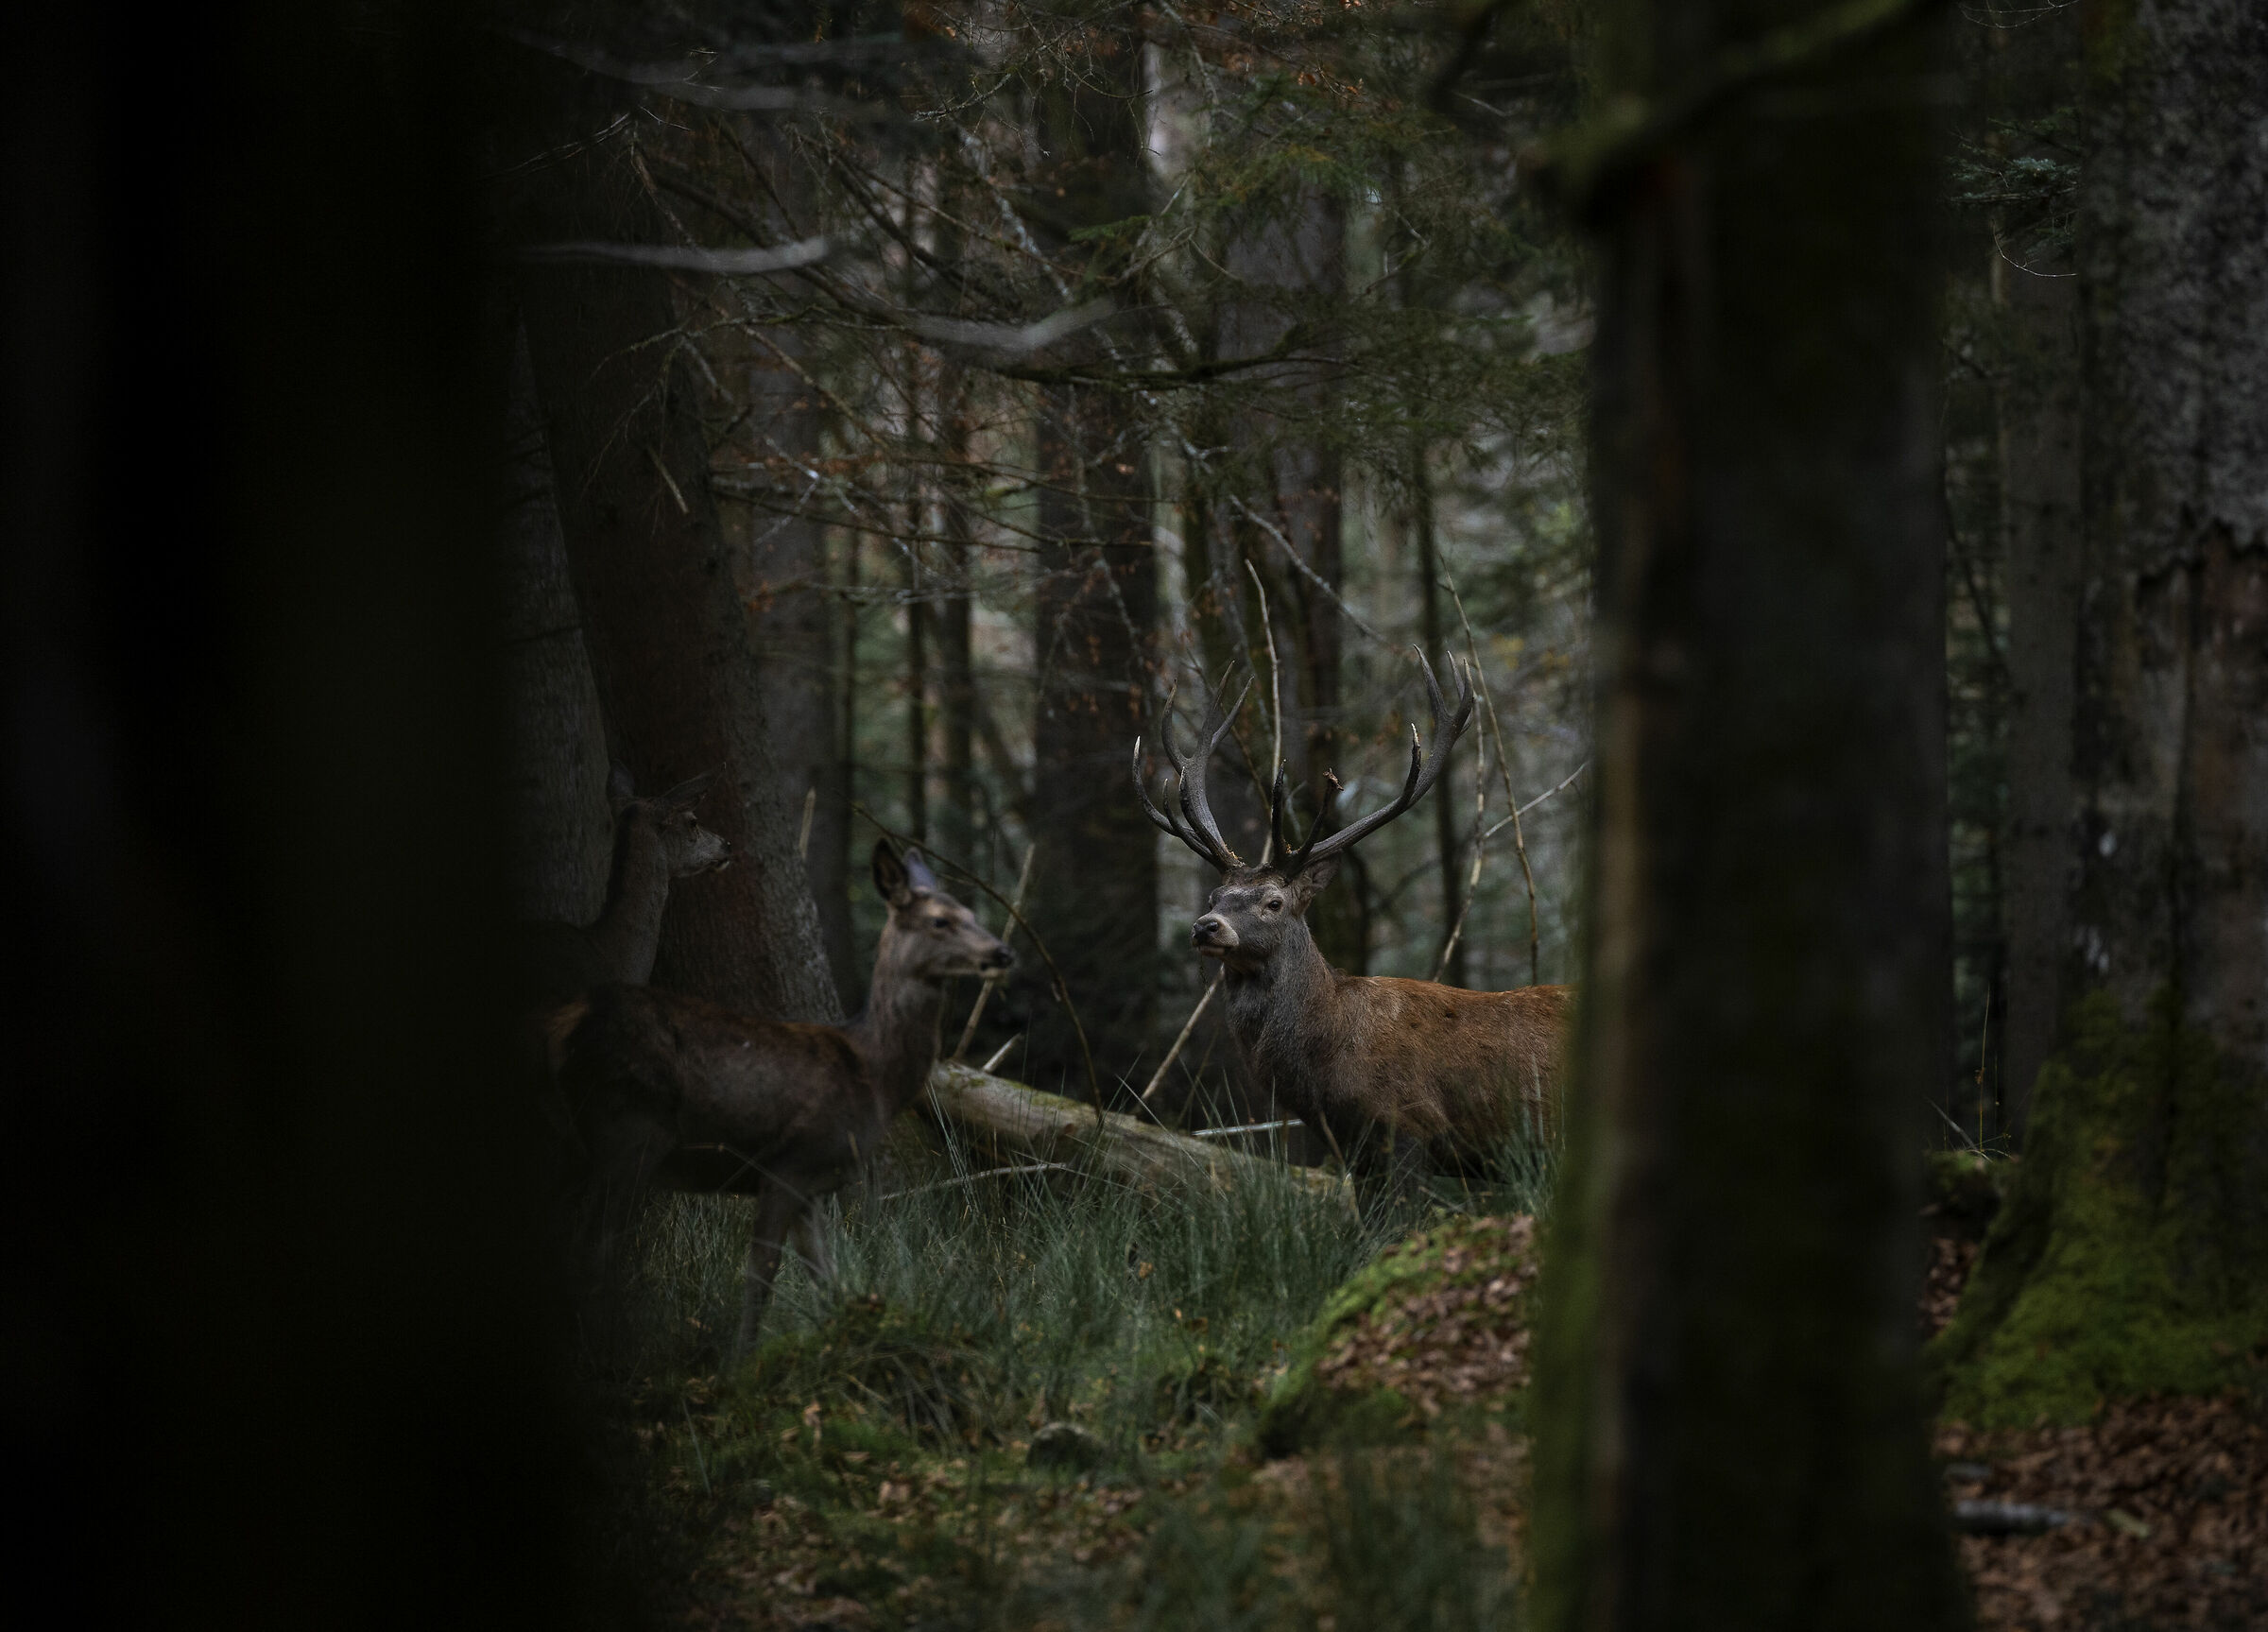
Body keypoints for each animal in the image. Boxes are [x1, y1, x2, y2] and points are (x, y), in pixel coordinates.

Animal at [547, 840, 1014, 1356]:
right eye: (940, 921)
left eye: (971, 913)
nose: (1003, 951)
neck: (873, 1075)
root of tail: (564, 1024)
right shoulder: (787, 1163)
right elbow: (761, 1276)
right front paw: (741, 1361)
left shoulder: (812, 1183)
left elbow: (825, 1276)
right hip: (629, 1130)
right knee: (592, 1247)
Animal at [1133, 652, 1571, 1180]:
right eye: (1217, 895)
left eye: (1273, 902)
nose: (1205, 926)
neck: (1324, 1070)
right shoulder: (1354, 1149)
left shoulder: (1406, 1128)